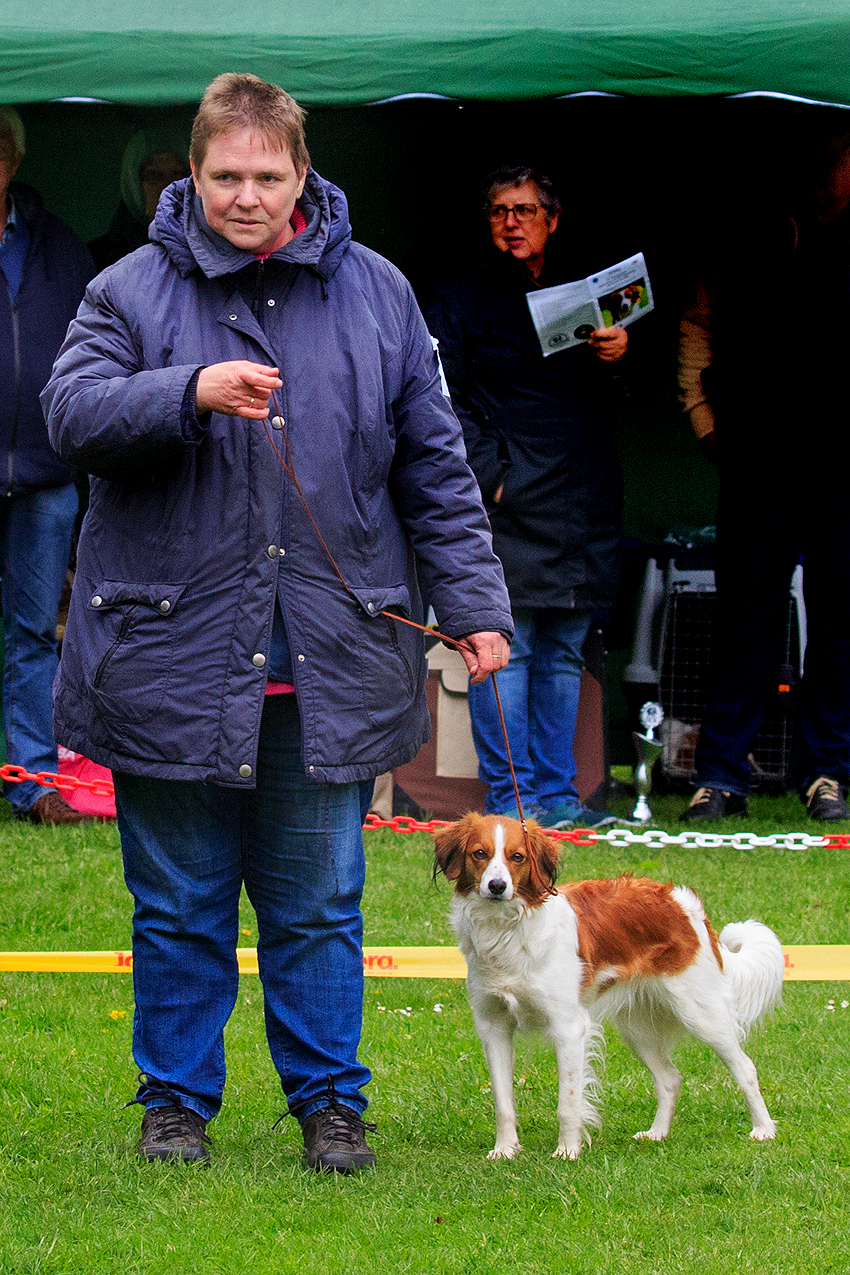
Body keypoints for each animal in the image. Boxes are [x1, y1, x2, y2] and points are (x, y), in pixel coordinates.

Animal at [438, 810, 785, 1162]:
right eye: (479, 853)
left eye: (517, 857)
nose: (497, 886)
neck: (506, 929)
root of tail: (680, 900)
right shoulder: (493, 1026)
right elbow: (503, 1102)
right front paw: (505, 1150)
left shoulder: (568, 1027)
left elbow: (569, 1102)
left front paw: (568, 1151)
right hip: (637, 1028)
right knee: (670, 1078)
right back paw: (657, 1133)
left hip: (701, 1013)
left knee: (745, 1068)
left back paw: (763, 1129)